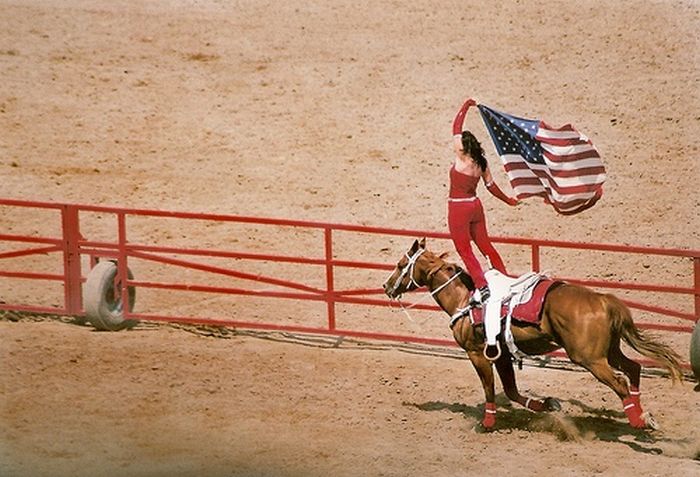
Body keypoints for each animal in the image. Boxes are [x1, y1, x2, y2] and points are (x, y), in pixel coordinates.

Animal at [382, 240, 684, 430]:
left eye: (399, 264)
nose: (386, 286)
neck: (464, 299)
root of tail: (602, 299)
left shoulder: (477, 353)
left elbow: (490, 388)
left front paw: (487, 423)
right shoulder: (502, 354)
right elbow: (512, 391)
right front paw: (547, 404)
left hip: (590, 359)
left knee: (621, 382)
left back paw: (639, 421)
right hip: (608, 351)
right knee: (633, 369)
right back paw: (642, 413)